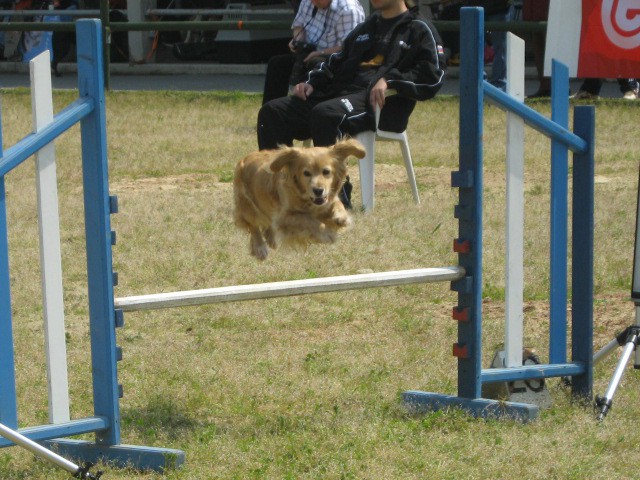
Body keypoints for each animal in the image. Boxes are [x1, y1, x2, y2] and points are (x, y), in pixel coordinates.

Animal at [234, 138, 364, 258]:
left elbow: (338, 205)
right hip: (247, 205)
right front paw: (326, 233)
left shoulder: (327, 200)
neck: (306, 198)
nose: (318, 191)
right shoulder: (285, 217)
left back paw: (271, 241)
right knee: (253, 225)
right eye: (306, 173)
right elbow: (308, 220)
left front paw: (342, 218)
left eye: (326, 171)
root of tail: (244, 158)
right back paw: (260, 248)